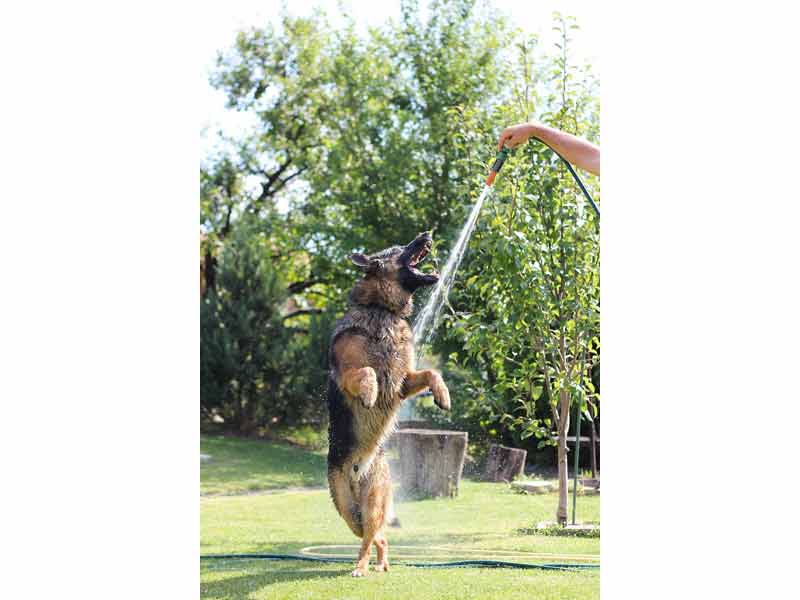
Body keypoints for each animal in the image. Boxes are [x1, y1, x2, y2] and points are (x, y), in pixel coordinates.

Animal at [326, 231, 450, 576]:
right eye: (398, 249)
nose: (427, 234)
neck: (382, 310)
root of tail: (358, 471)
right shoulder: (347, 374)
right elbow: (367, 371)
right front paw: (369, 393)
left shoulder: (403, 382)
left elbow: (432, 372)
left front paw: (443, 395)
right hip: (348, 510)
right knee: (372, 537)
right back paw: (364, 567)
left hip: (371, 505)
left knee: (375, 535)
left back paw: (375, 564)